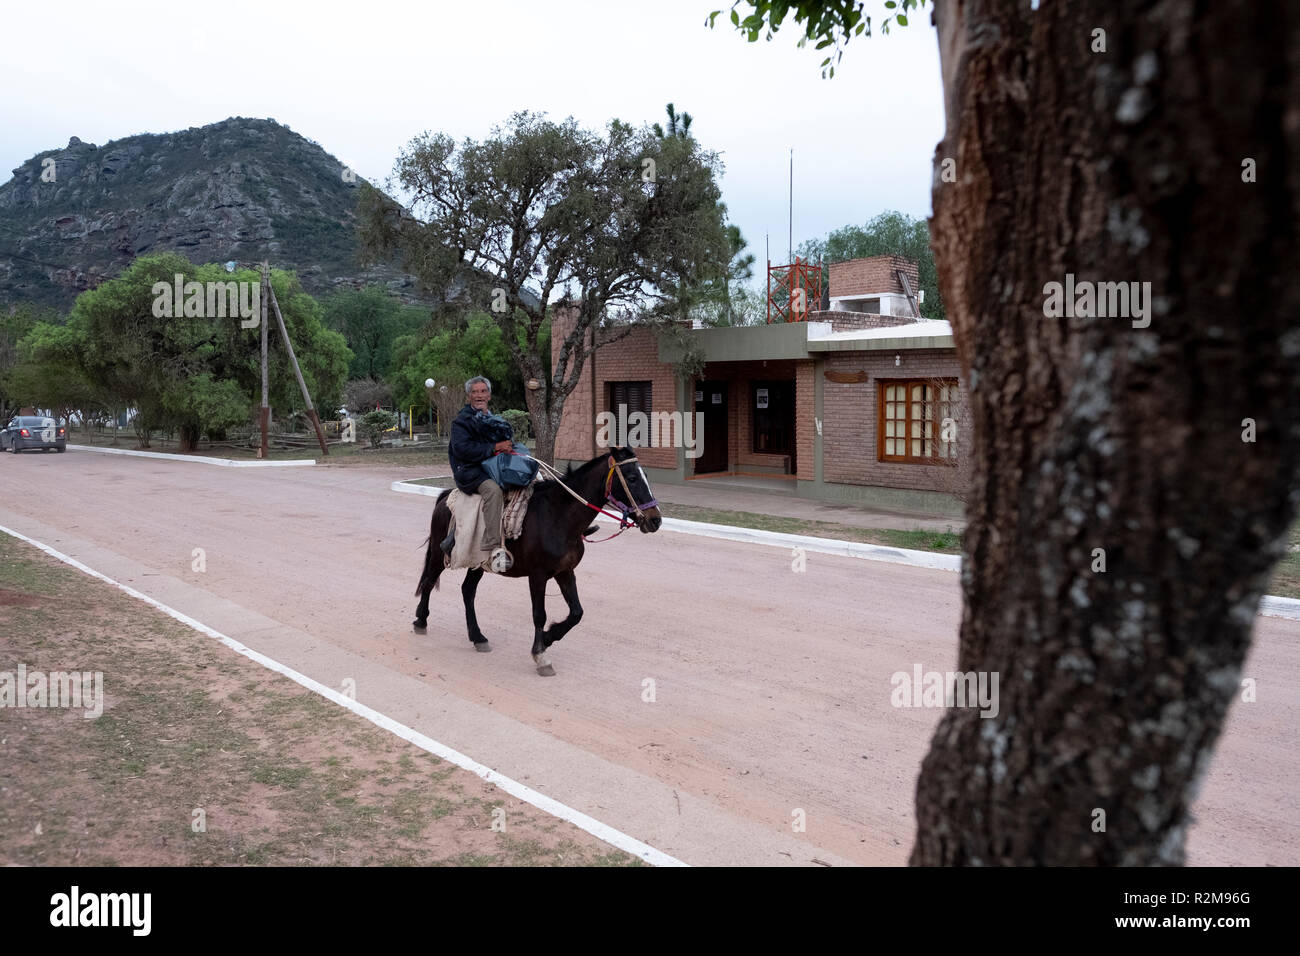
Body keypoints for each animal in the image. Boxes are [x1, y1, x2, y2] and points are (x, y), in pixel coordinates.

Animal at [413, 447, 660, 676]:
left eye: (646, 475)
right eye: (632, 478)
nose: (655, 520)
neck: (559, 516)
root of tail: (445, 497)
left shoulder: (565, 572)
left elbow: (576, 613)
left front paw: (549, 637)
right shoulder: (538, 576)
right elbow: (539, 614)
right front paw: (541, 655)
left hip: (478, 563)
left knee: (467, 591)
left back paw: (477, 637)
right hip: (439, 555)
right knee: (429, 582)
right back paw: (421, 622)